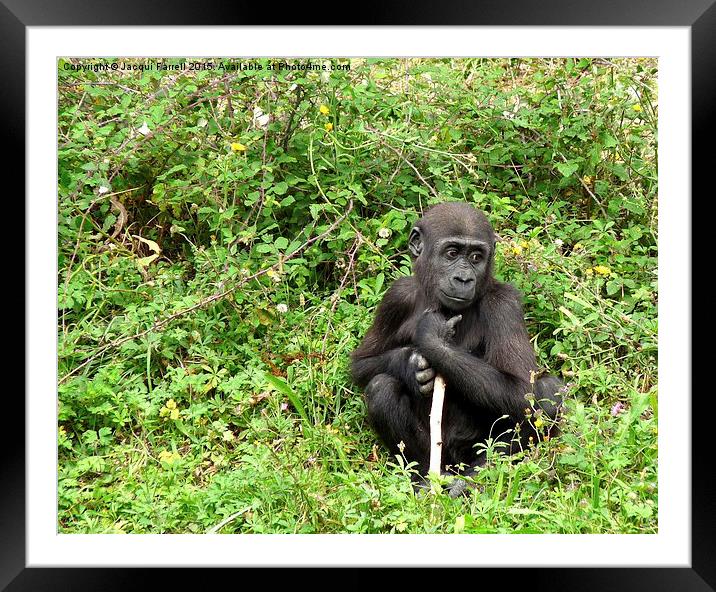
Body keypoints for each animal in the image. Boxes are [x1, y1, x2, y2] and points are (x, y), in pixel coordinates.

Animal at [350, 201, 564, 492]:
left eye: (476, 257)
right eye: (451, 253)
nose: (464, 279)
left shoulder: (504, 303)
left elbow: (523, 389)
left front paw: (434, 340)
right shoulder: (396, 296)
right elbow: (362, 364)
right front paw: (411, 364)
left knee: (548, 393)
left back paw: (472, 480)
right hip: (440, 459)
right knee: (380, 386)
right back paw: (424, 478)